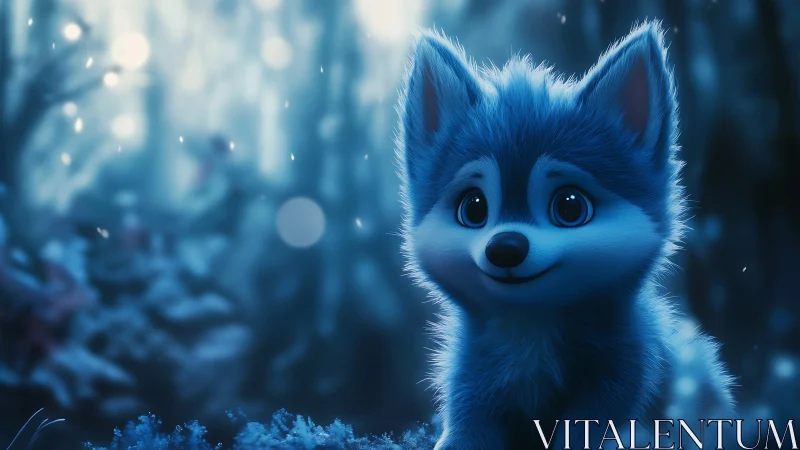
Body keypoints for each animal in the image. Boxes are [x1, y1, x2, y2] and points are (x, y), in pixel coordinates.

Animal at [395, 22, 735, 450]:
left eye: (570, 206)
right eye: (473, 208)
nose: (506, 248)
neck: (531, 326)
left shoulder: (626, 369)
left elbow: (588, 422)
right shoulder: (472, 374)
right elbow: (469, 418)